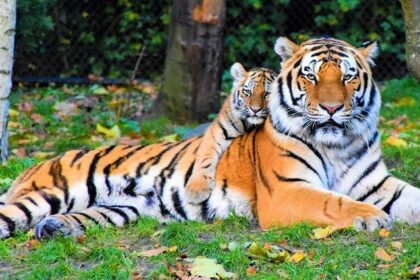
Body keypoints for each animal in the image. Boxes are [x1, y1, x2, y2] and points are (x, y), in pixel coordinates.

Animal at [185, 62, 278, 203]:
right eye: (248, 92)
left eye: (267, 94)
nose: (255, 110)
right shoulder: (216, 132)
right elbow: (205, 158)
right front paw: (196, 190)